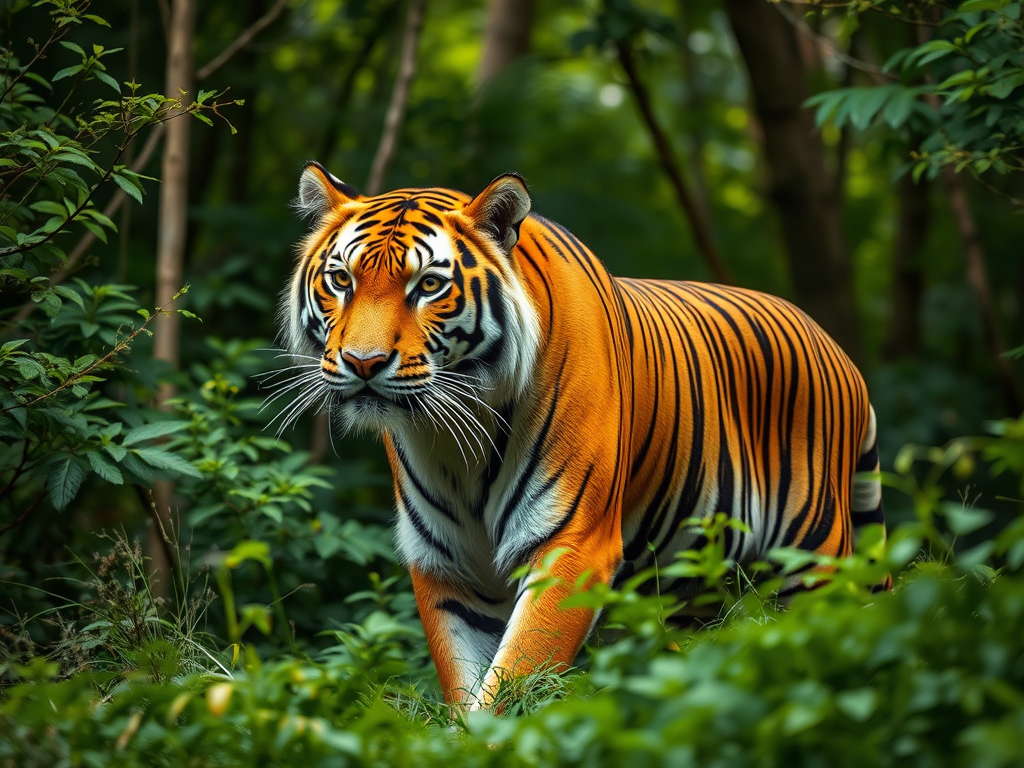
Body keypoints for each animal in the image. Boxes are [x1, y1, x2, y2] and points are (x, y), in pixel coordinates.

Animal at [279, 162, 888, 710]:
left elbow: (512, 682)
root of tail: (841, 355)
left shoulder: (572, 546)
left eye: (428, 285)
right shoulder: (445, 563)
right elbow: (466, 687)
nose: (363, 363)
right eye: (341, 280)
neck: (459, 440)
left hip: (814, 561)